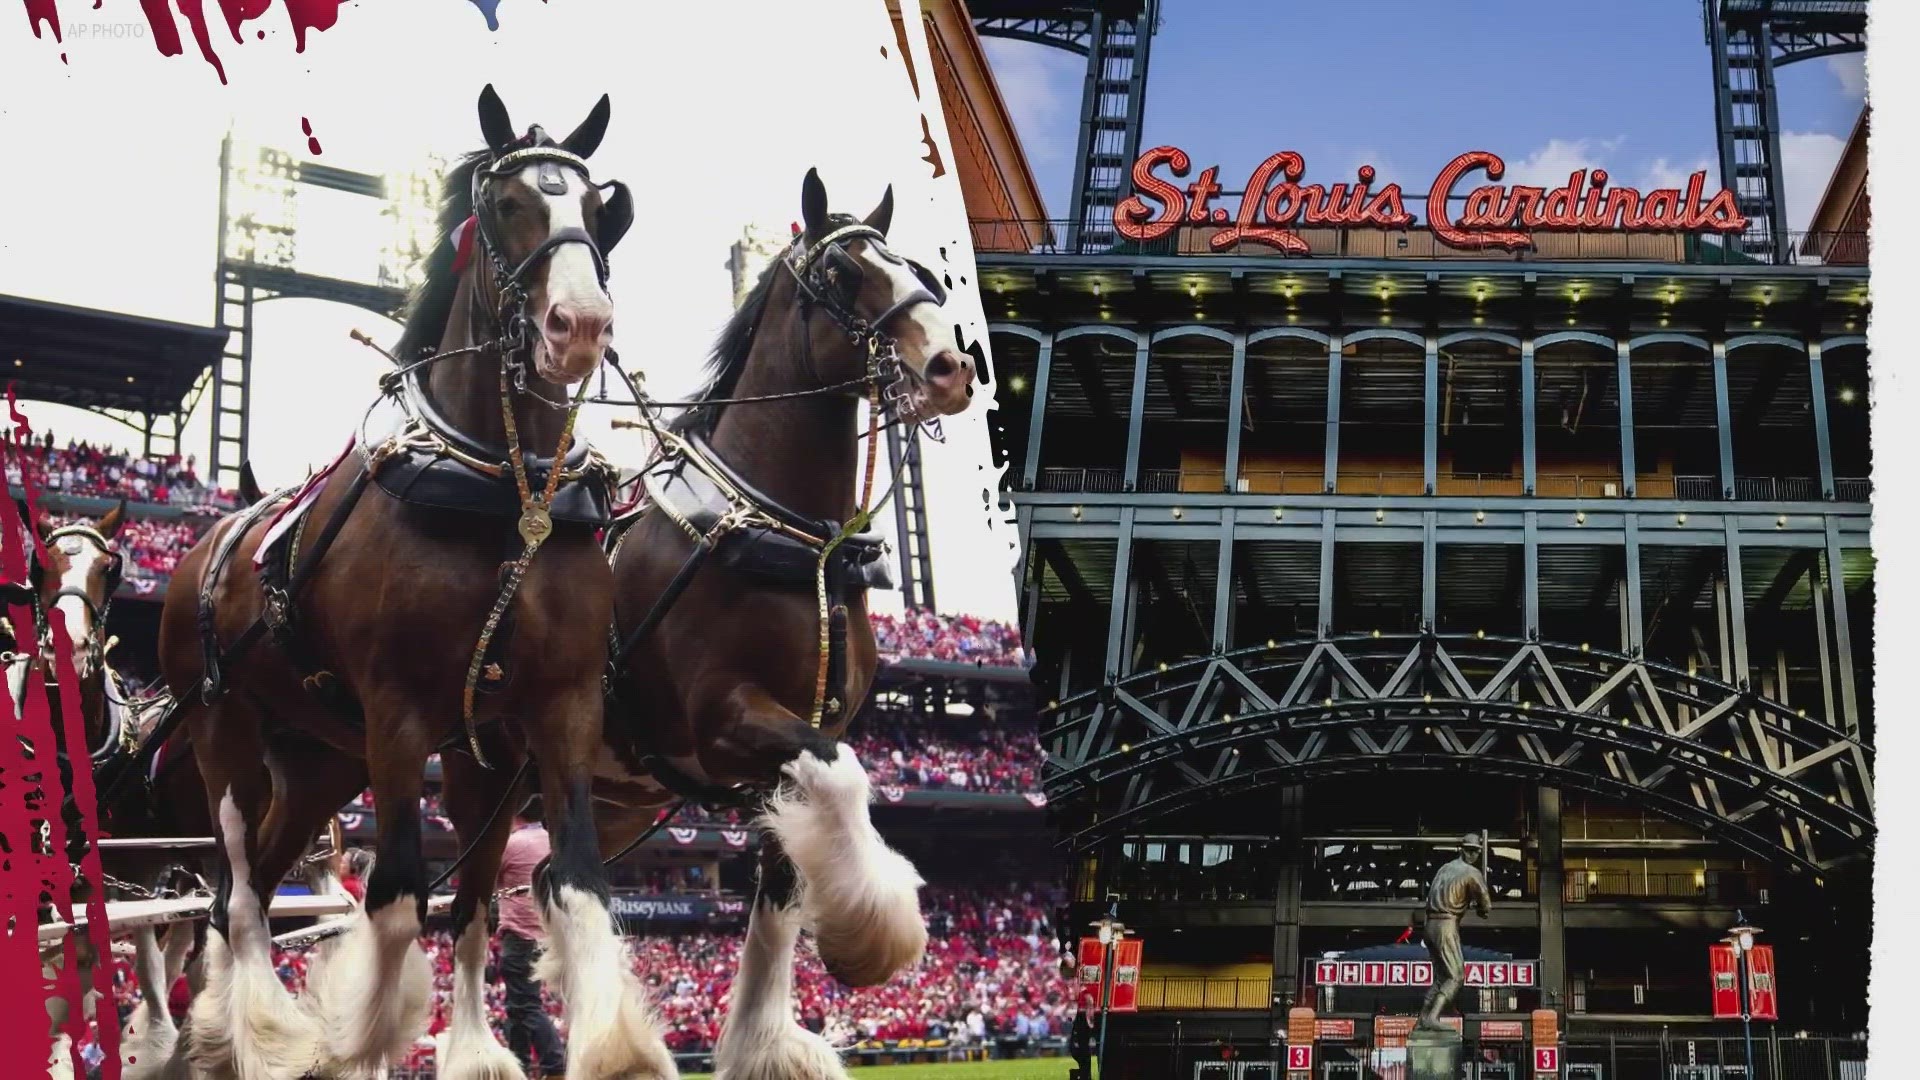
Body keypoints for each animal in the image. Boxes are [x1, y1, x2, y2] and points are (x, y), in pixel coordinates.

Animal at [155, 84, 675, 1076]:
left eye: (601, 212)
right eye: (507, 205)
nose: (581, 325)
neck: (502, 491)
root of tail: (208, 545)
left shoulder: (541, 716)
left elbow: (544, 888)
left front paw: (582, 1047)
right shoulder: (399, 709)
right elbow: (398, 895)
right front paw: (358, 1044)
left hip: (320, 758)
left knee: (260, 881)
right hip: (223, 728)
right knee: (236, 890)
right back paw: (254, 1032)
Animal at [587, 170, 975, 1076]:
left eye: (922, 273)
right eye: (842, 274)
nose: (950, 366)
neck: (794, 542)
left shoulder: (788, 746)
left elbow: (784, 879)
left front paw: (764, 1043)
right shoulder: (722, 718)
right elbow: (846, 775)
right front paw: (875, 929)